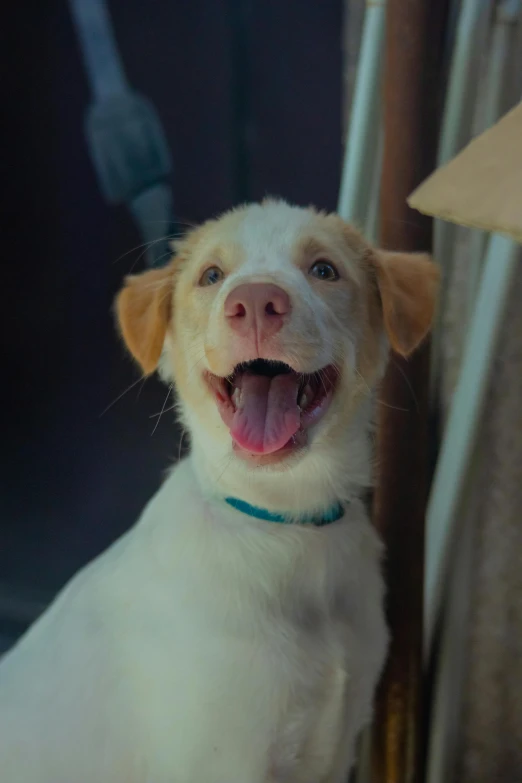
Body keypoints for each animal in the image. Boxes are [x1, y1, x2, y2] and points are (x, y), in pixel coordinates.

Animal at [0, 202, 438, 783]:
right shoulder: (226, 763)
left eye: (324, 269)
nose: (254, 303)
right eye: (211, 276)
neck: (283, 525)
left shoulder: (335, 745)